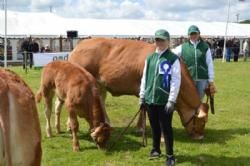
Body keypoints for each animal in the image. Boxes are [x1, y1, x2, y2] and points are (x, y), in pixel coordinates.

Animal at [68, 37, 209, 139]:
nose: (201, 136)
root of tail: (80, 45)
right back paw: (70, 126)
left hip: (100, 84)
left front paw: (140, 127)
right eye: (203, 121)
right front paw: (145, 129)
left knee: (101, 101)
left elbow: (143, 108)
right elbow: (146, 109)